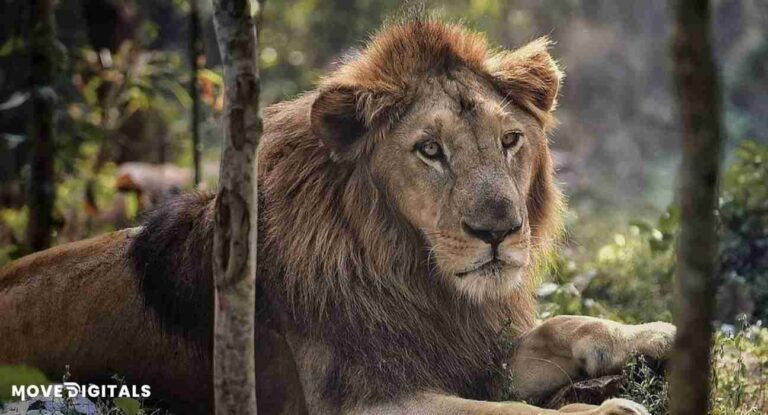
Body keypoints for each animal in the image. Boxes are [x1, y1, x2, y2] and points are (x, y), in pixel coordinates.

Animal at [0, 18, 676, 415]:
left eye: (510, 140)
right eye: (430, 150)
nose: (499, 231)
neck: (415, 274)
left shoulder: (464, 352)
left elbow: (563, 324)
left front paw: (655, 334)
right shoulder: (357, 401)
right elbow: (506, 413)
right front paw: (607, 409)